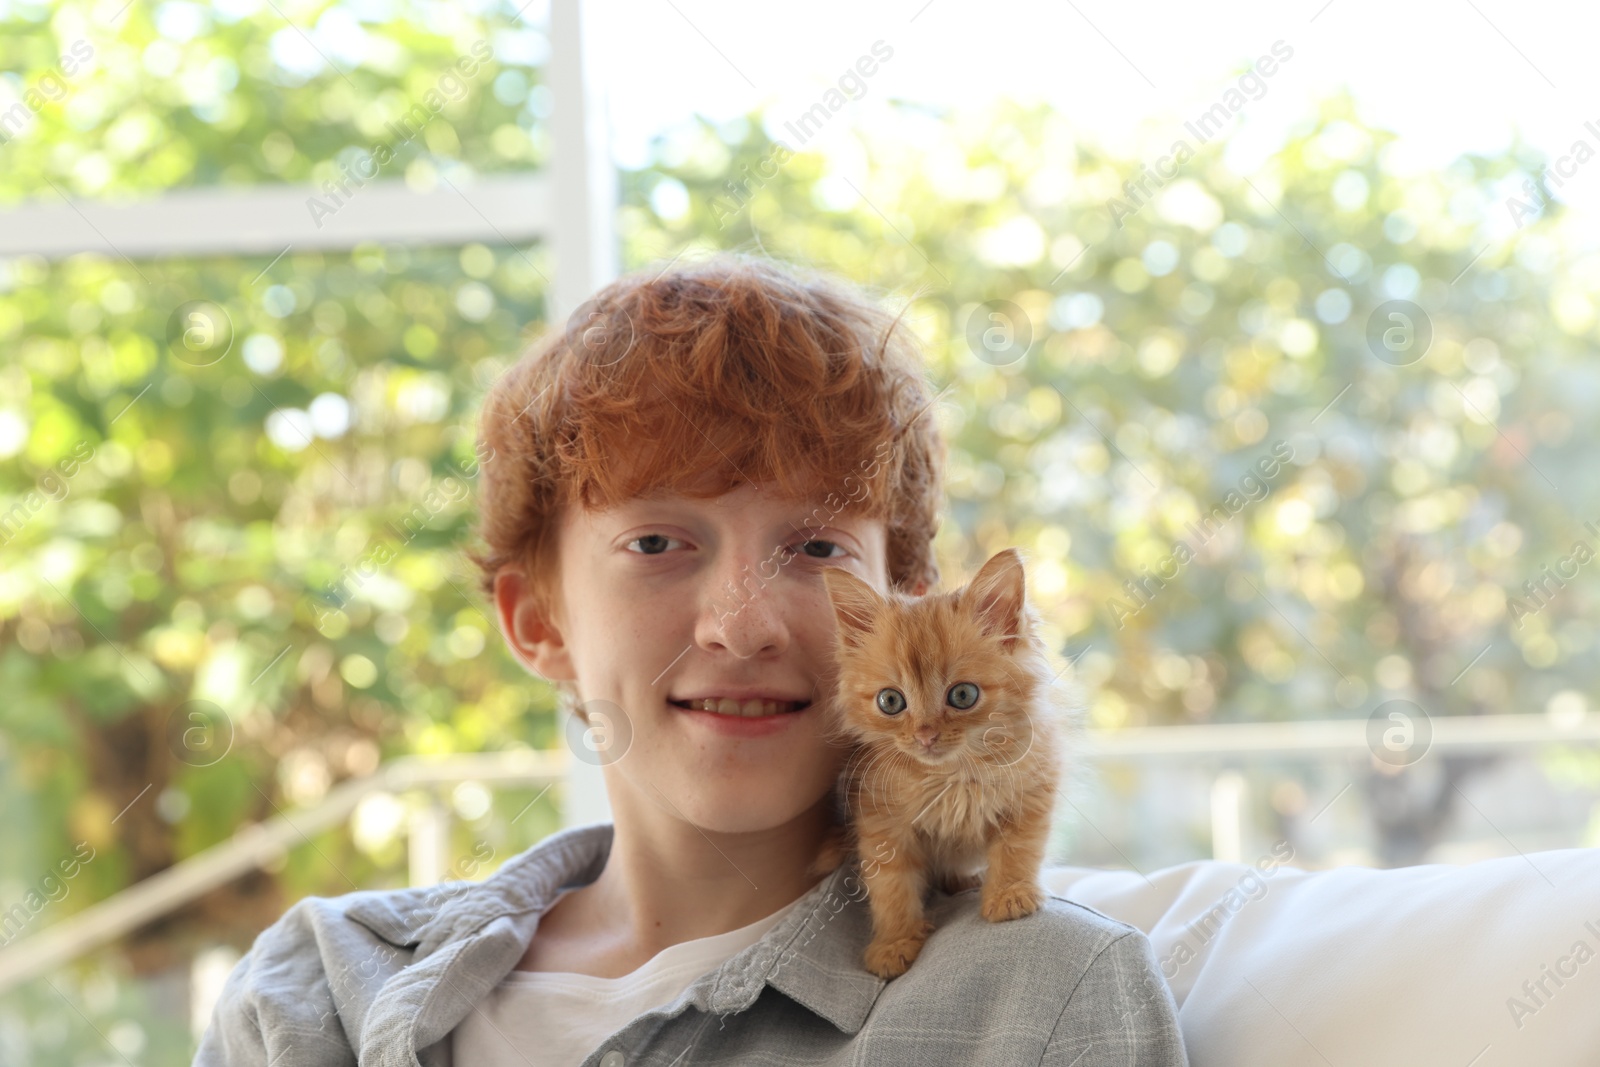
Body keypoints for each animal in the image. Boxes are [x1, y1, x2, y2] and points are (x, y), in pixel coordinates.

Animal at [819, 550, 1068, 985]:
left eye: (963, 695)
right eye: (890, 701)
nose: (925, 736)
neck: (950, 776)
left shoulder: (1033, 788)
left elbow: (1019, 846)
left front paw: (1010, 894)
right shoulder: (881, 822)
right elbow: (891, 887)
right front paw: (895, 943)